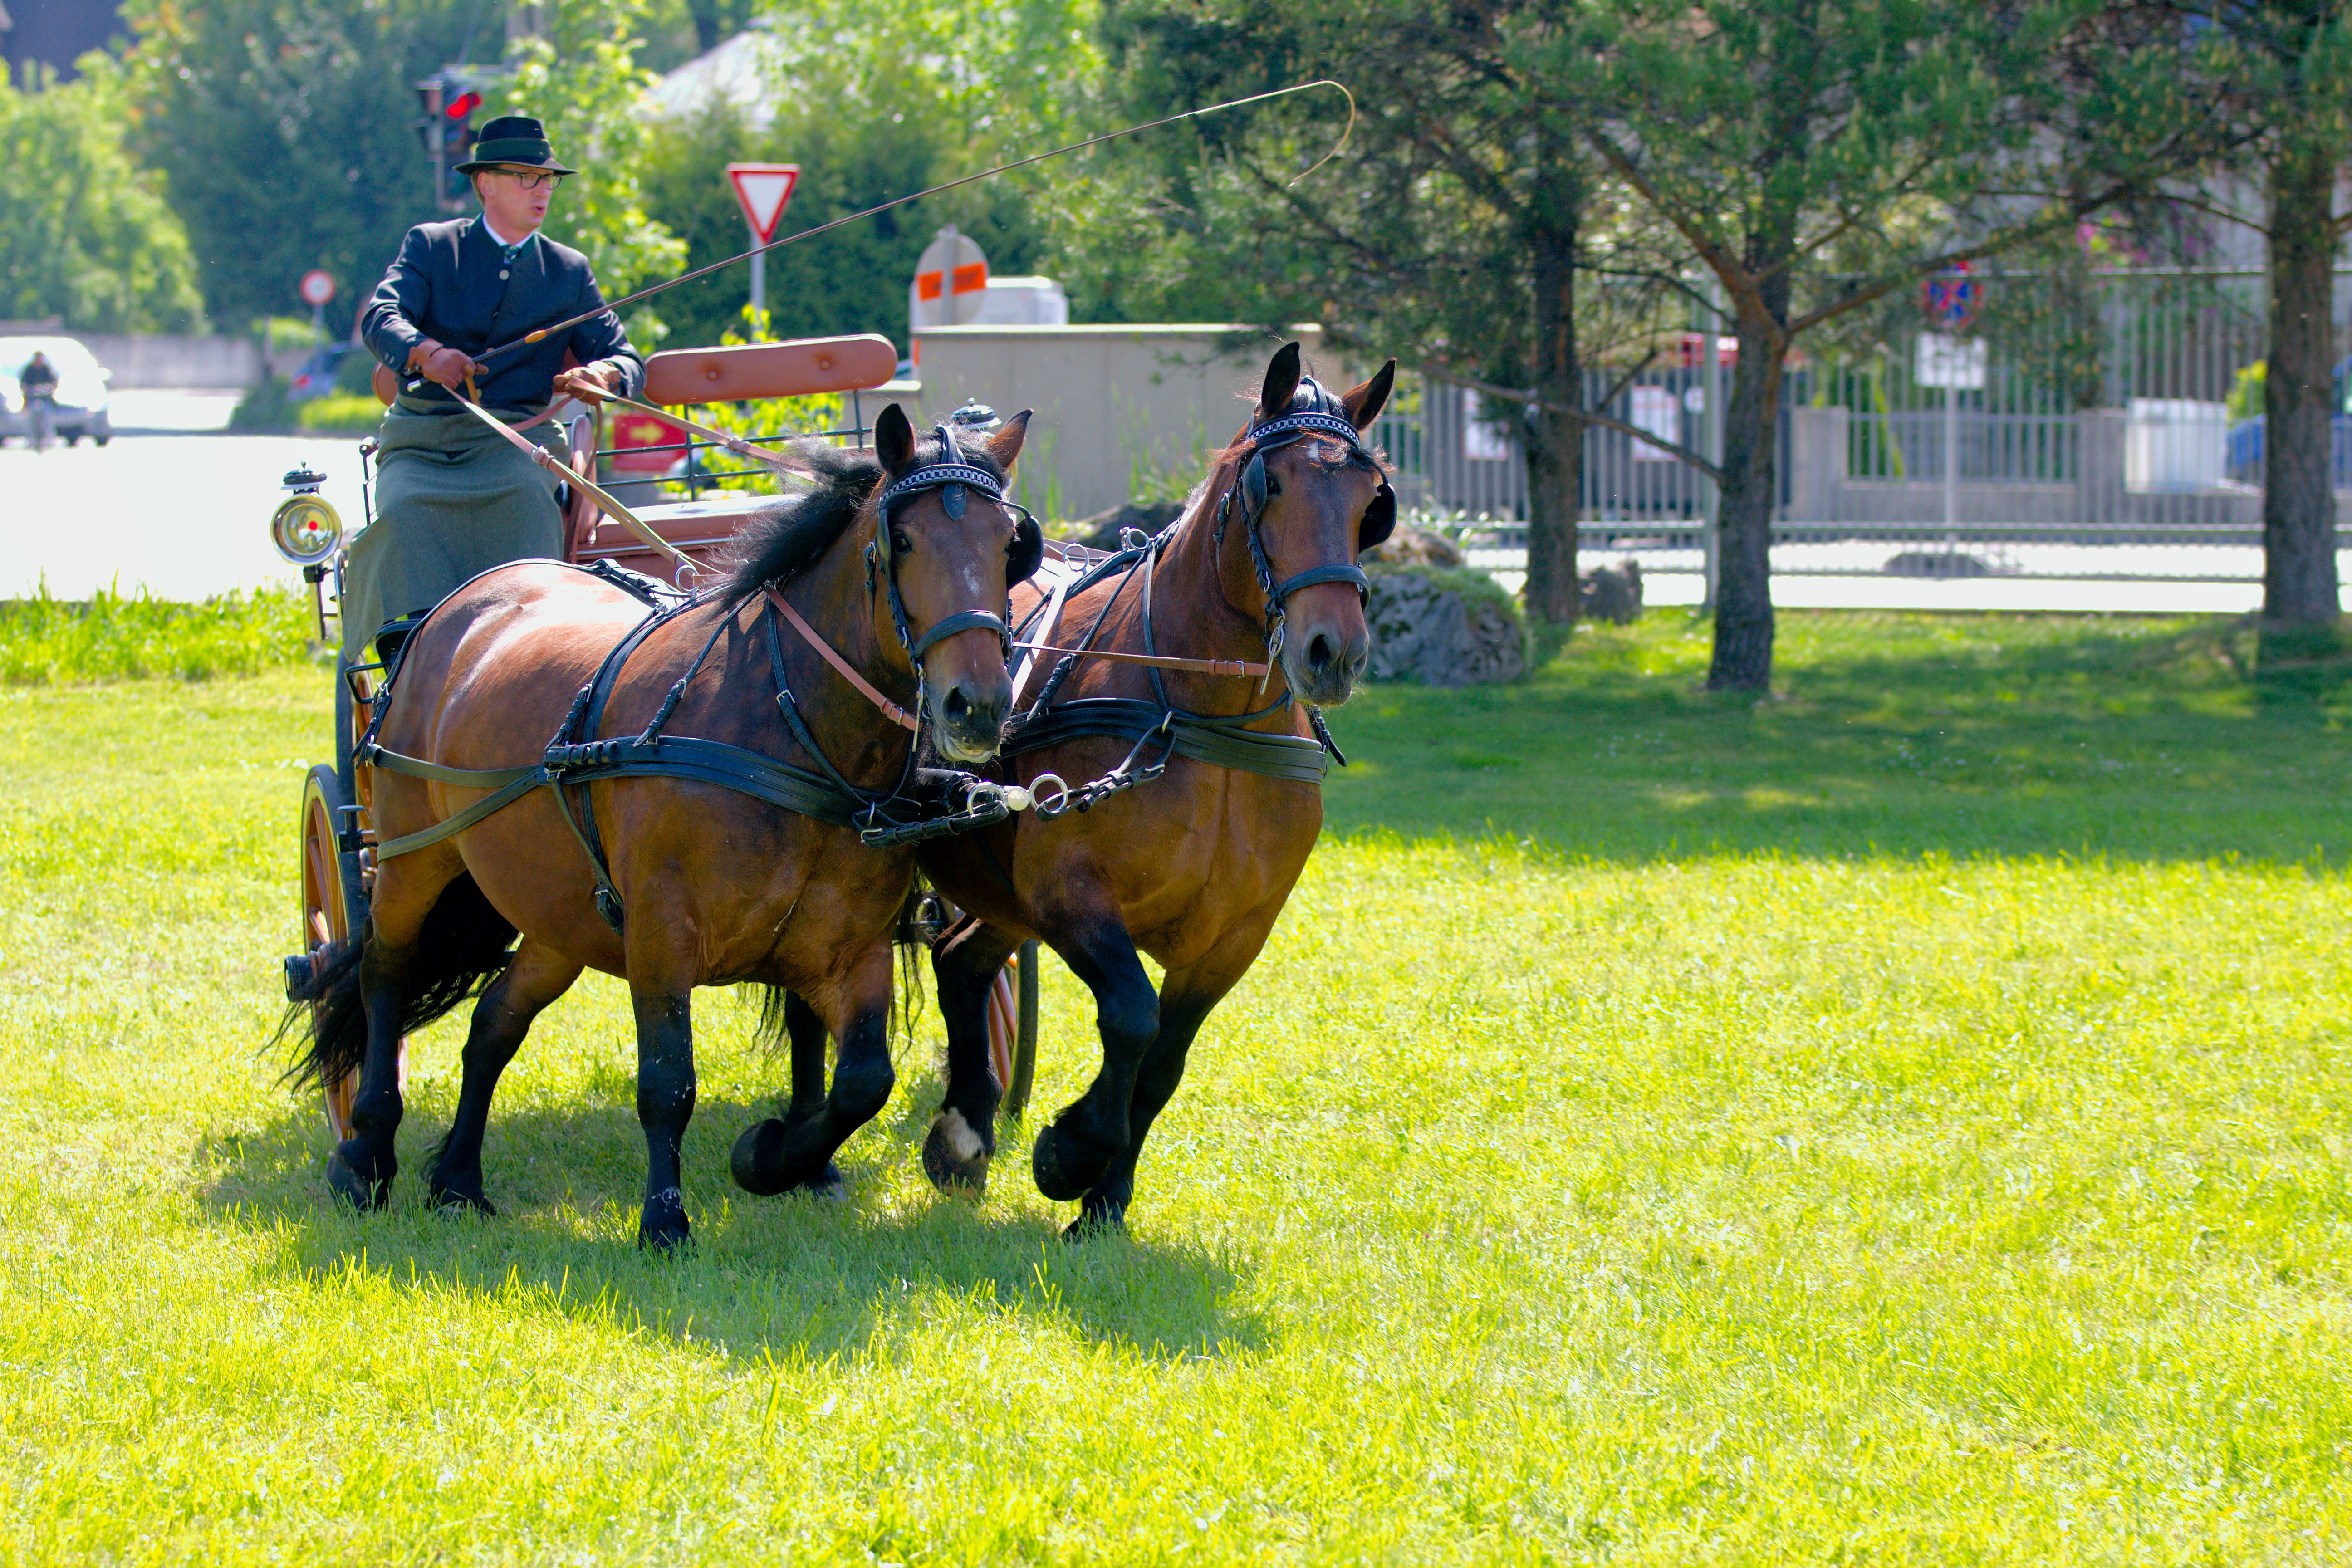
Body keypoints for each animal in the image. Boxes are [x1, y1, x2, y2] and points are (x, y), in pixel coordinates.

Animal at [287, 404, 1039, 1250]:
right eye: (901, 540)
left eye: (1009, 545)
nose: (977, 705)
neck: (784, 722)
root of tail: (463, 601)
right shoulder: (660, 933)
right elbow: (668, 1084)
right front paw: (665, 1220)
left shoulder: (850, 947)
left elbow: (862, 1081)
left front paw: (772, 1157)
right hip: (416, 859)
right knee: (384, 972)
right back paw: (366, 1151)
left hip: (560, 914)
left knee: (493, 1024)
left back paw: (457, 1179)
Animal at [752, 343, 1383, 1241]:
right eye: (1273, 484)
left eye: (1371, 501)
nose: (1333, 651)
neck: (1199, 712)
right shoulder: (1066, 889)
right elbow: (1131, 1014)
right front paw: (1071, 1152)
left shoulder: (1234, 936)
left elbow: (1163, 1060)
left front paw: (1104, 1200)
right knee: (822, 987)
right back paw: (820, 1156)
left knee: (961, 963)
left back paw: (963, 1132)